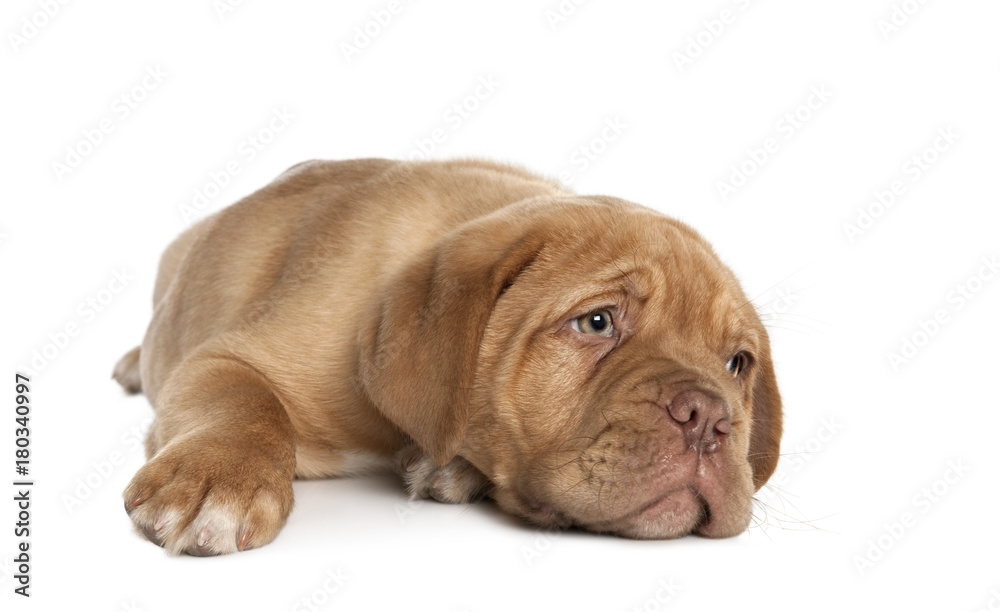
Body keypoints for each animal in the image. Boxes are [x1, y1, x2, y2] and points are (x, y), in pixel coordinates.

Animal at [115, 158, 780, 556]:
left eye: (737, 364)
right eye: (598, 322)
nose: (709, 419)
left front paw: (453, 468)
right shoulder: (226, 357)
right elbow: (242, 403)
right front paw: (217, 480)